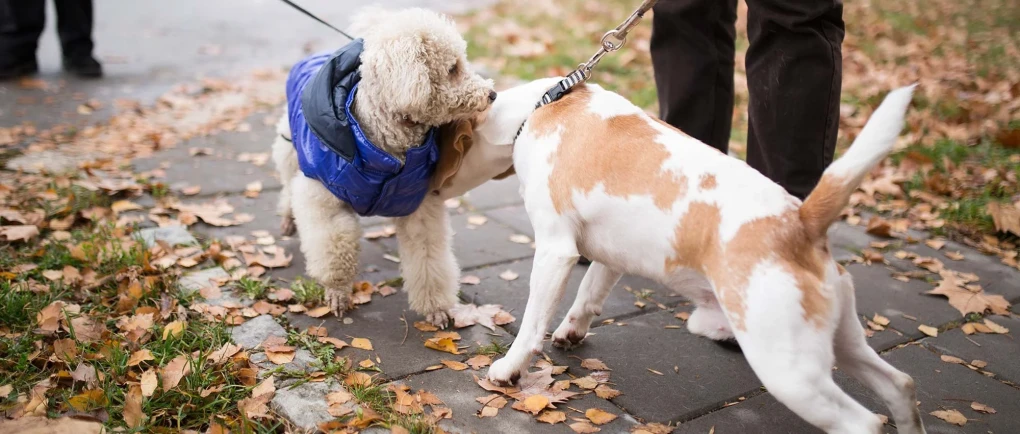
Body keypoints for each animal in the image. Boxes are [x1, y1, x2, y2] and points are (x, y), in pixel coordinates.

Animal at [438, 78, 926, 432]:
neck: (541, 107)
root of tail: (800, 220)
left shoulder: (555, 249)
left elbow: (531, 324)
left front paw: (509, 369)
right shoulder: (610, 255)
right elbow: (589, 295)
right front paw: (572, 332)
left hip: (790, 371)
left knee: (864, 423)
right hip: (841, 345)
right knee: (901, 386)